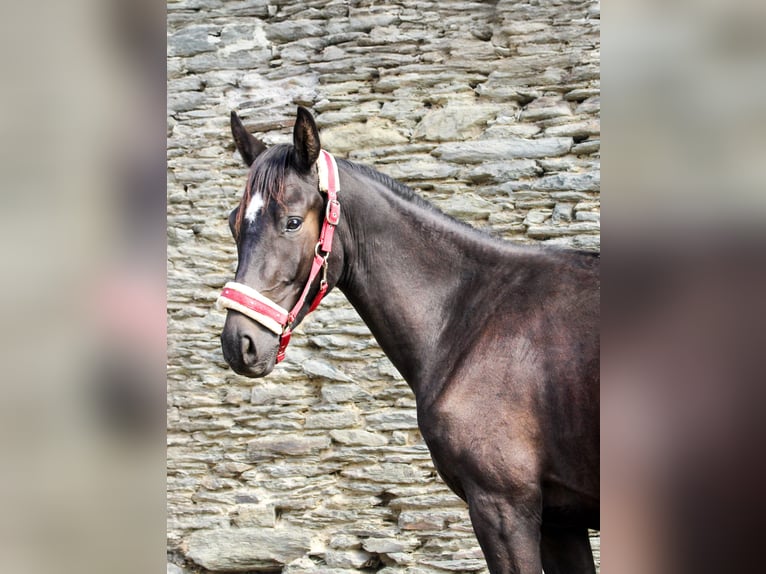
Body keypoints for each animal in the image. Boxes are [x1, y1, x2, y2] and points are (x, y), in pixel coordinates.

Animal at [217, 106, 600, 574]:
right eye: (234, 224)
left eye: (291, 222)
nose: (240, 343)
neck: (472, 315)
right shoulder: (562, 521)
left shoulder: (504, 508)